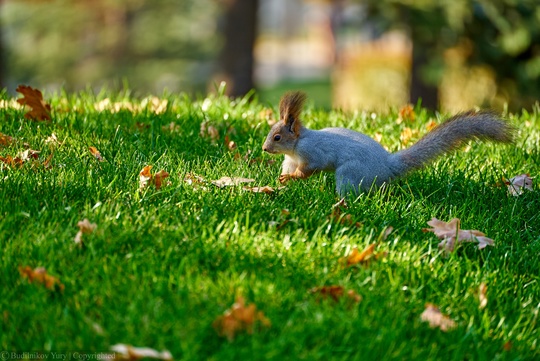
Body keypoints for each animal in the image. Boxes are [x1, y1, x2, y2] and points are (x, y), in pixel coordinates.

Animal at [262, 91, 516, 195]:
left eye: (277, 137)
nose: (264, 148)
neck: (296, 146)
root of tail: (387, 165)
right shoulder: (290, 159)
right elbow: (289, 169)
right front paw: (282, 179)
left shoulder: (312, 152)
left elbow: (309, 169)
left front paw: (293, 177)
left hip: (350, 173)